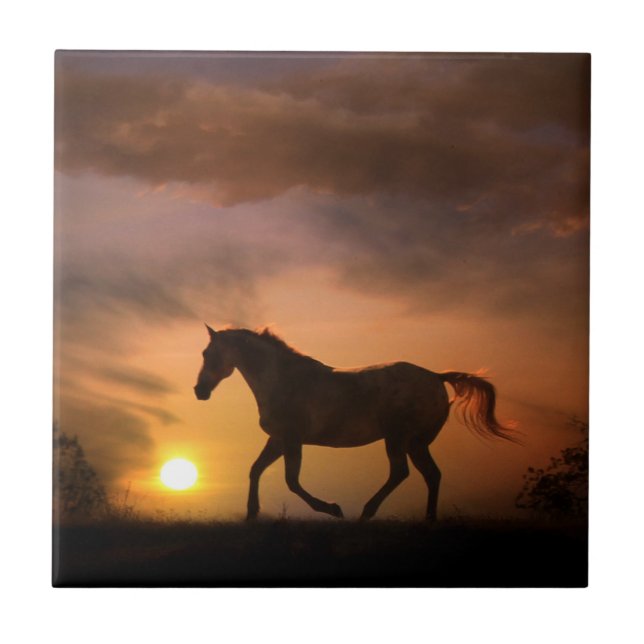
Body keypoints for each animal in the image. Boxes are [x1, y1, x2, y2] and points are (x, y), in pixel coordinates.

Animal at [194, 325, 519, 521]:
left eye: (209, 353)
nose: (200, 391)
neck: (283, 380)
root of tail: (437, 377)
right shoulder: (277, 440)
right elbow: (256, 469)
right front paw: (251, 514)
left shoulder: (292, 439)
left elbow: (291, 481)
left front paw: (333, 509)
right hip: (416, 443)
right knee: (432, 475)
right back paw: (428, 520)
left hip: (398, 438)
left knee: (401, 473)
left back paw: (366, 512)